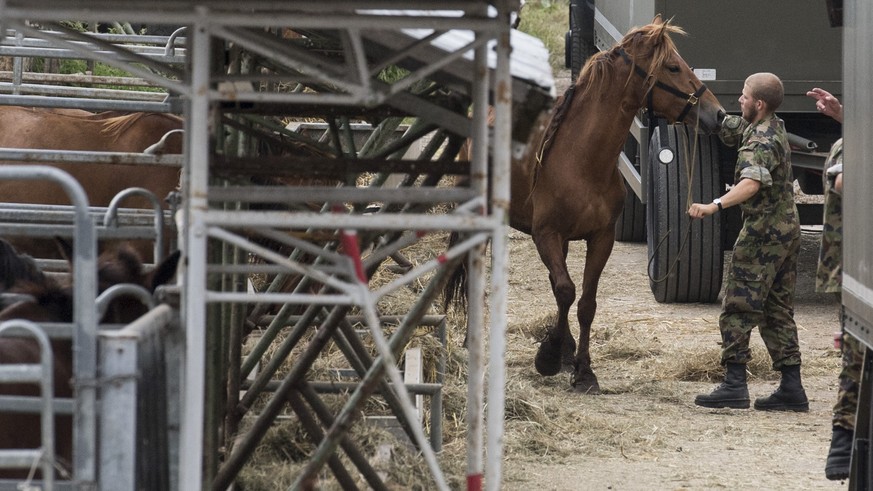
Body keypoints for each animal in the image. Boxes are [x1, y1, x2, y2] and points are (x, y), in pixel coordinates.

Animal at [446, 16, 724, 396]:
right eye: (672, 67)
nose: (718, 113)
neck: (581, 158)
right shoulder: (546, 235)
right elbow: (566, 290)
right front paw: (549, 356)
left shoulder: (600, 238)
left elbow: (584, 302)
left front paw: (581, 368)